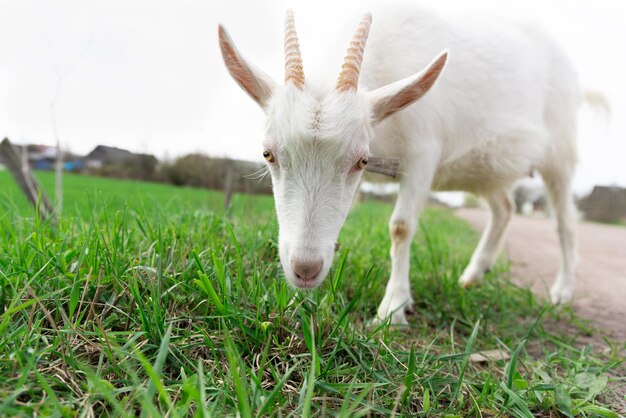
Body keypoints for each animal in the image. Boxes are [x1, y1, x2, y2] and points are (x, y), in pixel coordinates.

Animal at [221, 8, 580, 324]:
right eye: (268, 154)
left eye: (362, 160)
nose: (305, 269)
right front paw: (298, 302)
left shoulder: (423, 154)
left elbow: (401, 227)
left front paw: (392, 308)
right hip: (487, 170)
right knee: (504, 208)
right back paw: (472, 276)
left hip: (560, 151)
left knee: (565, 221)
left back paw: (562, 292)